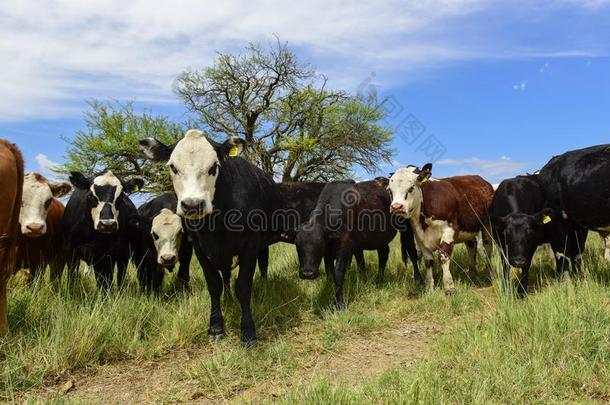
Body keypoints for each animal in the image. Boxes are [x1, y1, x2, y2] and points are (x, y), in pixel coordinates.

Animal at [139, 129, 282, 348]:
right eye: (173, 167)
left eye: (214, 166)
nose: (192, 204)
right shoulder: (200, 249)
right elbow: (214, 285)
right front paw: (216, 328)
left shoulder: (249, 247)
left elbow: (243, 287)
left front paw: (248, 332)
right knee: (226, 276)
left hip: (262, 246)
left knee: (264, 265)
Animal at [294, 178, 418, 308]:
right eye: (297, 246)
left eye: (320, 245)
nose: (307, 273)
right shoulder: (329, 252)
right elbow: (330, 271)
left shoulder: (344, 246)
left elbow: (338, 273)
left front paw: (339, 303)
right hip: (380, 238)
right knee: (383, 254)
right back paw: (379, 280)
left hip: (406, 228)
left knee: (412, 252)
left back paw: (418, 280)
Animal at [390, 164, 494, 294]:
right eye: (390, 190)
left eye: (411, 187)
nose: (396, 207)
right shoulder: (419, 236)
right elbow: (428, 261)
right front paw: (429, 287)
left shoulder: (449, 230)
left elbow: (443, 257)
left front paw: (449, 287)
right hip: (469, 229)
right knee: (472, 248)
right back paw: (472, 275)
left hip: (487, 227)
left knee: (488, 248)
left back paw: (489, 275)